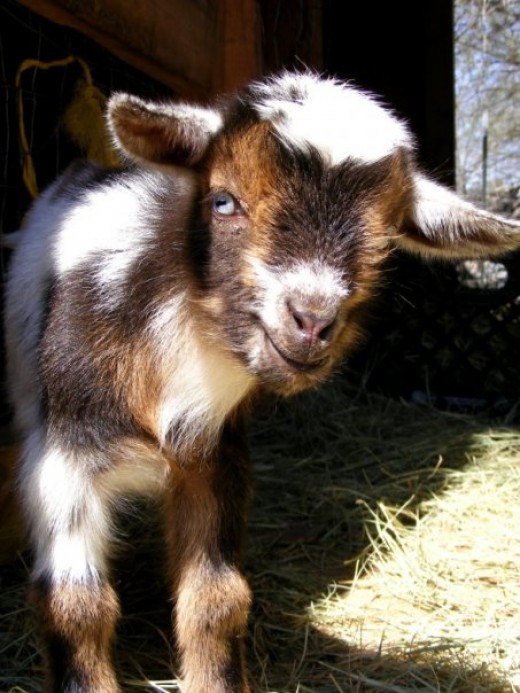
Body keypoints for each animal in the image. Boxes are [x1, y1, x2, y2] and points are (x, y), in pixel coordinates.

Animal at [5, 70, 520, 692]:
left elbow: (217, 598)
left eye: (385, 238)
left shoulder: (215, 456)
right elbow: (76, 605)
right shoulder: (63, 457)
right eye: (222, 200)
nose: (313, 321)